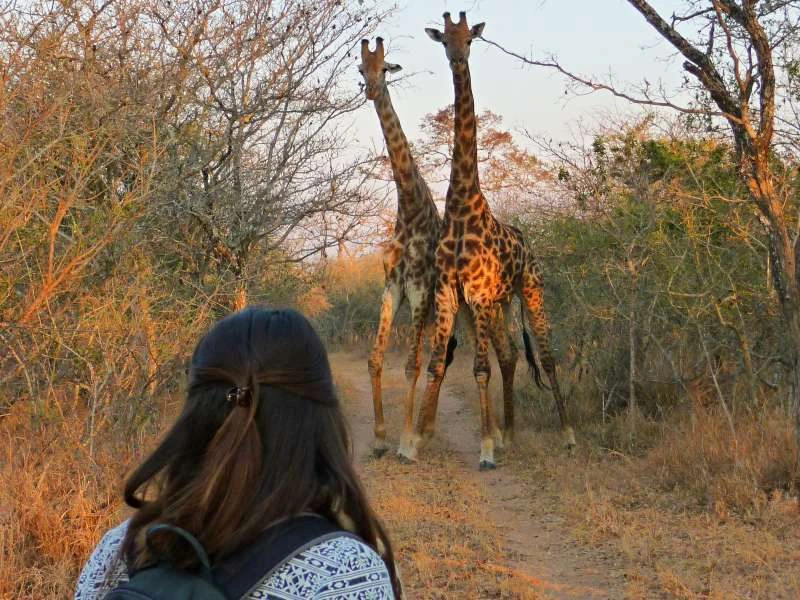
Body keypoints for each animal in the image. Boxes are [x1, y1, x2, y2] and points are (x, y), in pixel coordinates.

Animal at [410, 12, 576, 470]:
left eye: (469, 38)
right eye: (444, 39)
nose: (457, 56)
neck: (462, 209)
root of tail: (528, 242)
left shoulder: (478, 294)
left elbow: (479, 368)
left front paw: (484, 449)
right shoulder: (451, 292)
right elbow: (437, 364)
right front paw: (414, 443)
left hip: (530, 289)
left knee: (547, 356)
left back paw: (568, 434)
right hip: (499, 305)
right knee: (511, 355)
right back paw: (511, 433)